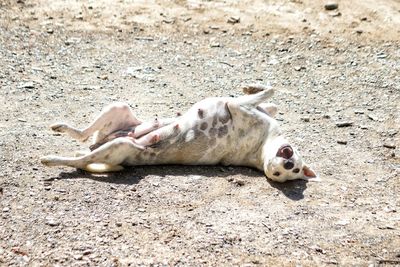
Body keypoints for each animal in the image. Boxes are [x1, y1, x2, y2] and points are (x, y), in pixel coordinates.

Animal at [39, 85, 318, 183]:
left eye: (287, 172)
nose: (284, 163)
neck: (262, 148)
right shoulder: (252, 108)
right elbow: (270, 98)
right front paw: (256, 88)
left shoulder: (239, 108)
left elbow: (263, 93)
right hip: (117, 107)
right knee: (84, 136)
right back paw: (62, 128)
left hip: (118, 146)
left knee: (80, 160)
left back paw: (50, 159)